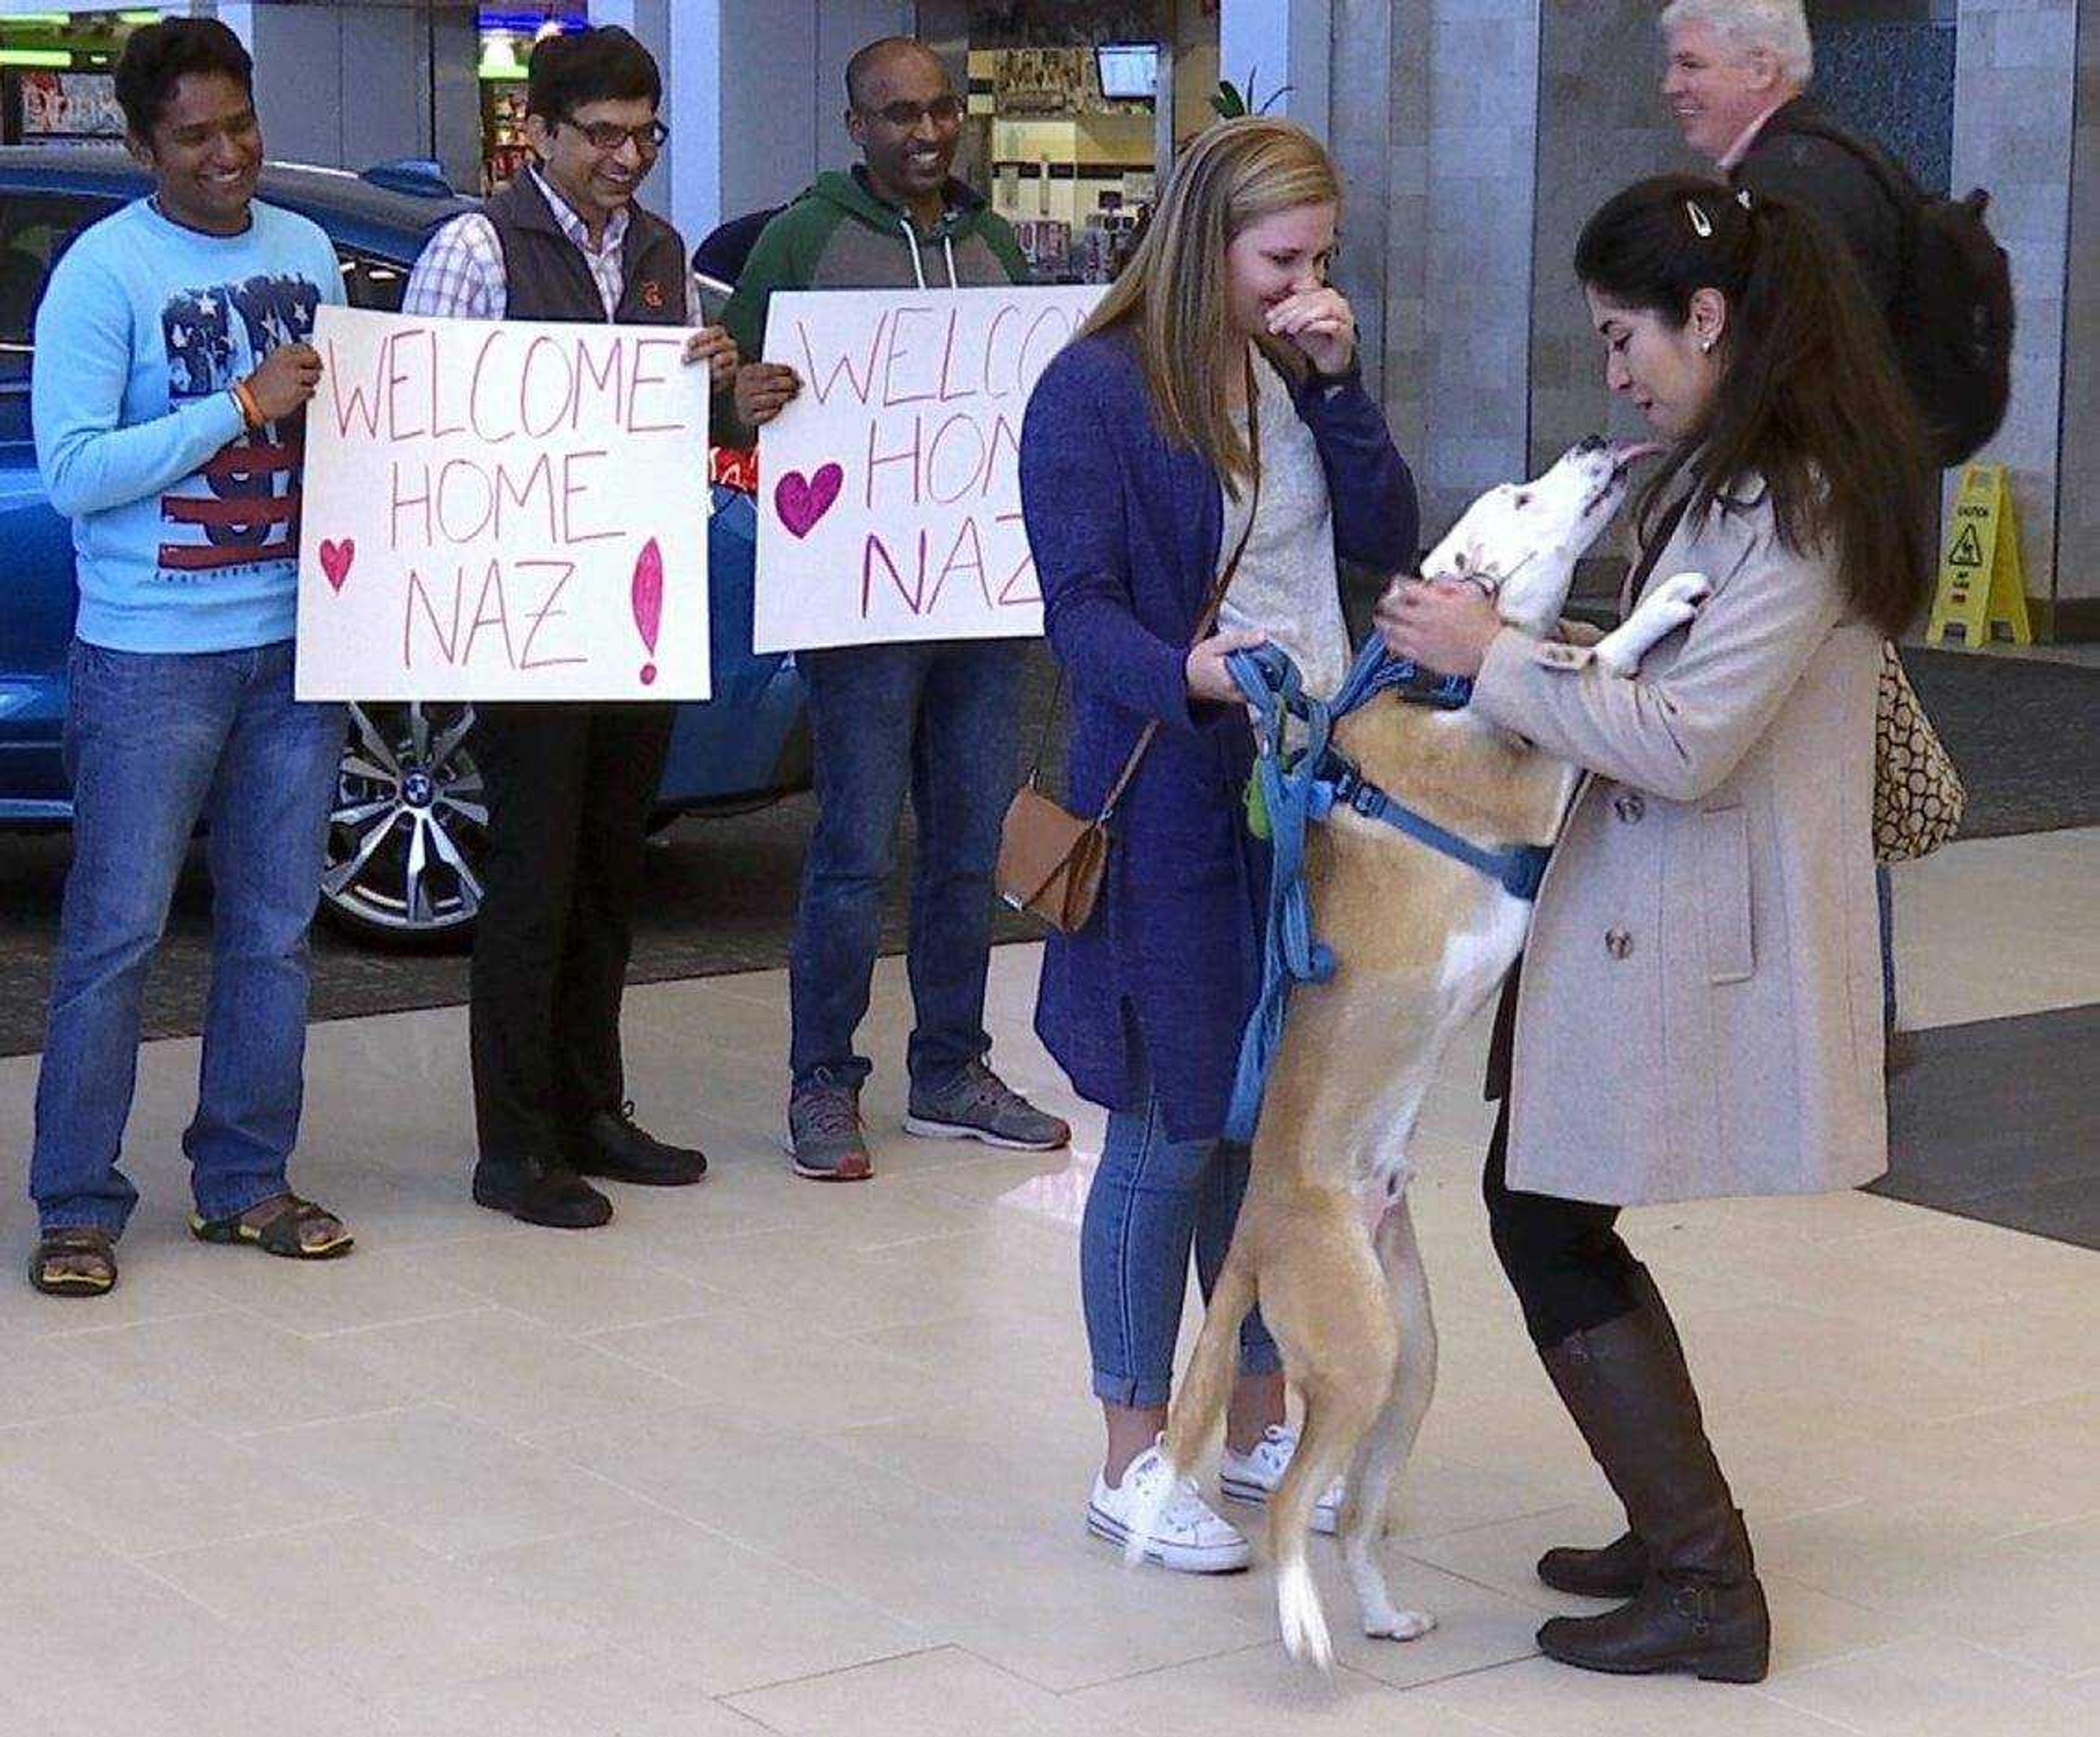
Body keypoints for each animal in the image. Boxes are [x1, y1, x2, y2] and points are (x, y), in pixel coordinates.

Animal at [1134, 434, 1705, 1671]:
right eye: (1526, 495)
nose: (1590, 441)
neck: (1432, 681)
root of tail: (1251, 1235)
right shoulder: (1531, 766)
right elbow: (1582, 667)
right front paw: (1652, 613)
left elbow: (1565, 650)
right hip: (1356, 1356)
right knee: (1294, 1500)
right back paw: (1306, 1622)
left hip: (1411, 1358)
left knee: (1352, 1508)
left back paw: (1383, 1612)